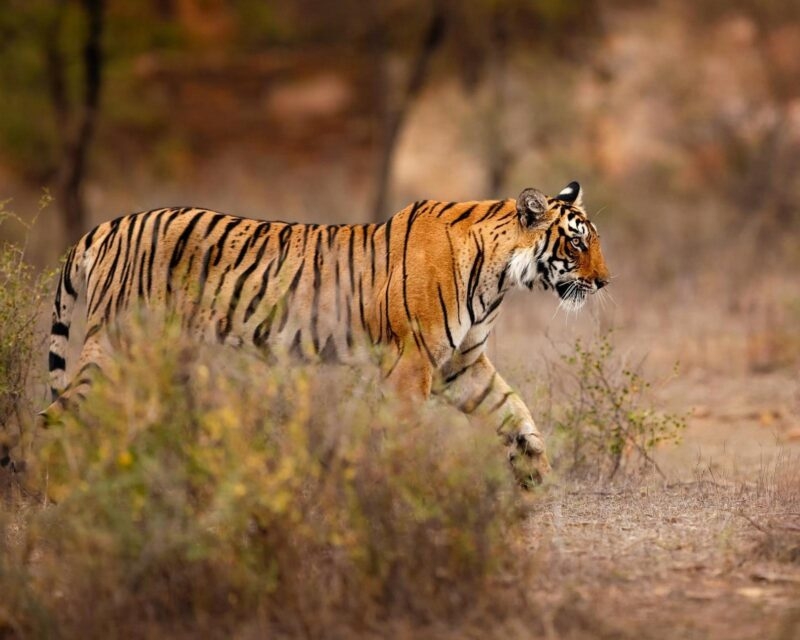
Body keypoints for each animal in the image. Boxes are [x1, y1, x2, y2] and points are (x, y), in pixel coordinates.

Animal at [41, 181, 609, 486]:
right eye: (578, 244)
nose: (606, 282)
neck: (501, 279)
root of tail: (107, 226)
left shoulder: (460, 366)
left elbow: (515, 410)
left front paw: (534, 472)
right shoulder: (413, 364)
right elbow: (405, 433)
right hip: (116, 350)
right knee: (57, 416)